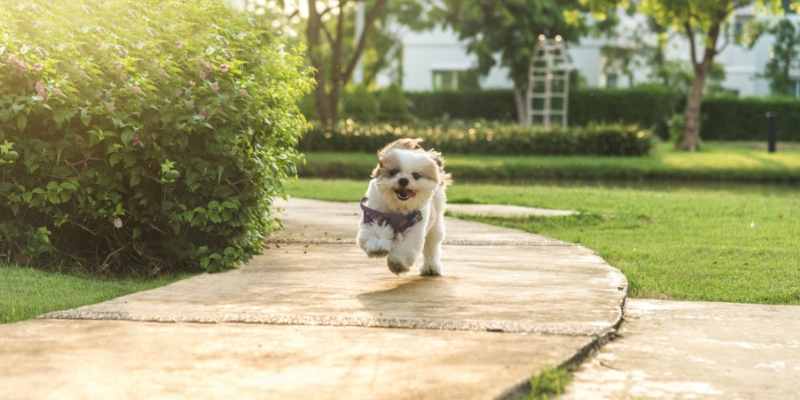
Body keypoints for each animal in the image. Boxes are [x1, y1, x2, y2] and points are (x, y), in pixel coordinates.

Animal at [356, 138, 450, 276]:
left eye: (416, 175)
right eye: (394, 172)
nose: (403, 180)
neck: (398, 207)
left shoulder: (416, 223)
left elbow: (407, 246)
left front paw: (397, 264)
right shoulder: (375, 214)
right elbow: (376, 231)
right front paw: (378, 247)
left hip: (435, 223)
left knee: (431, 245)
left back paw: (431, 267)